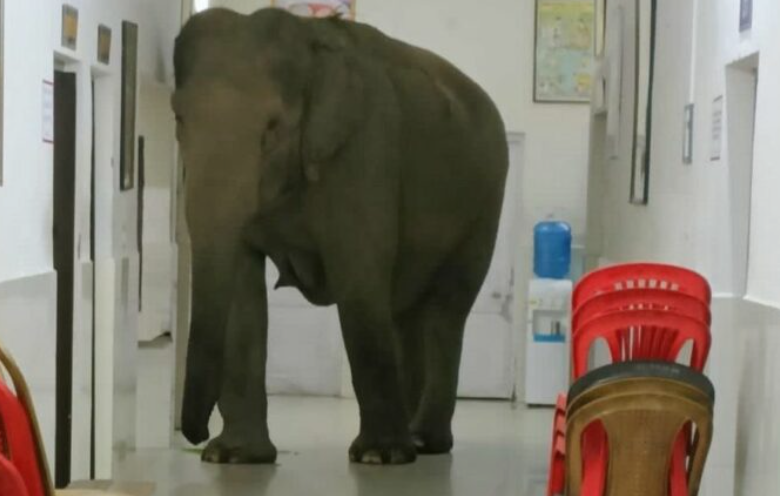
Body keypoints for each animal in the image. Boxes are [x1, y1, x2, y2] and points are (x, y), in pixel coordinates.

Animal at [173, 7, 509, 465]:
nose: (195, 435)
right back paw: (414, 438)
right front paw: (234, 456)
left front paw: (379, 457)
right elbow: (243, 287)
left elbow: (358, 273)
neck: (308, 42)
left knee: (446, 310)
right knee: (405, 312)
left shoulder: (365, 148)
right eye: (178, 119)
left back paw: (424, 443)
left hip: (484, 204)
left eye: (272, 128)